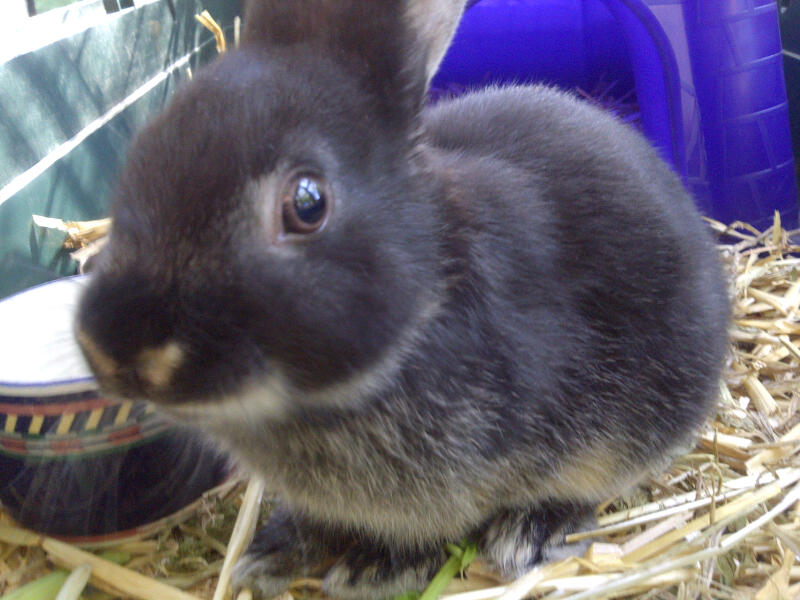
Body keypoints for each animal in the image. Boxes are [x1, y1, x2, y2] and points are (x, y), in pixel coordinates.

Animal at [74, 0, 731, 598]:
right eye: (142, 155)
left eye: (307, 203)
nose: (114, 349)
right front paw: (275, 549)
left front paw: (376, 569)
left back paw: (532, 532)